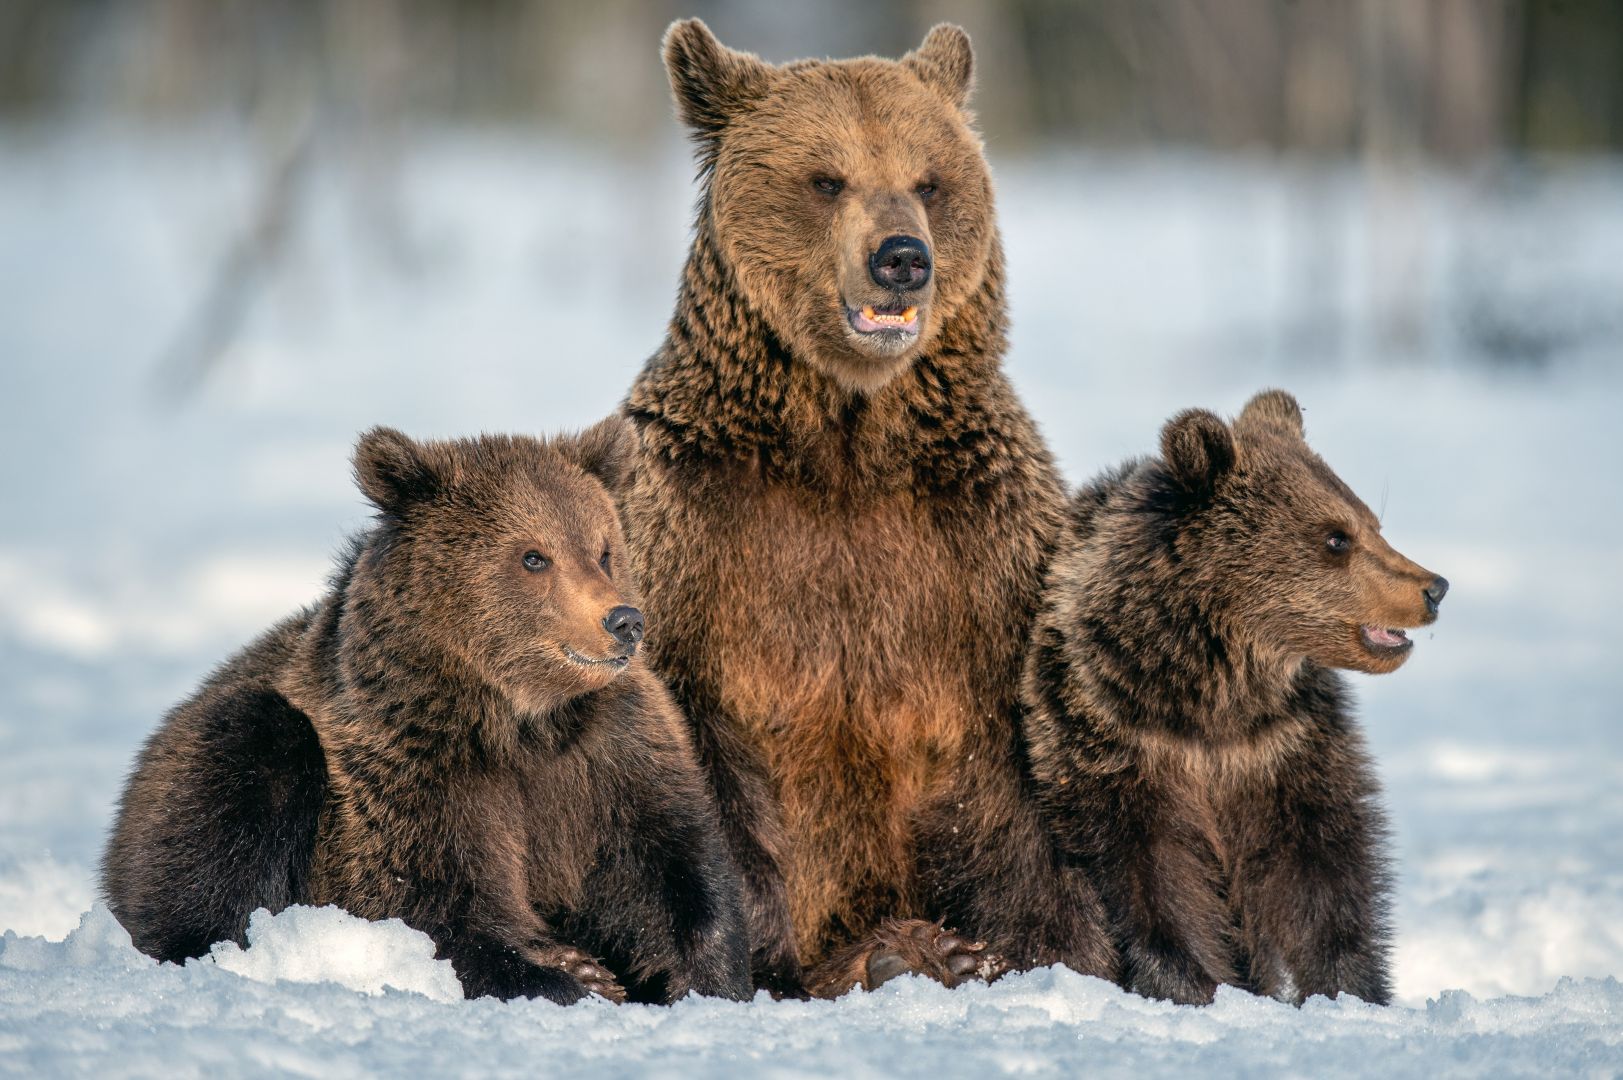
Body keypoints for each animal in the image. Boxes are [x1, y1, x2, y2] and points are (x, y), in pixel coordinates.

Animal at [619, 18, 1116, 993]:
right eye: (825, 177)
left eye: (928, 179)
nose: (902, 259)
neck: (845, 443)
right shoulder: (693, 532)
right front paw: (747, 961)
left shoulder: (978, 549)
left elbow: (1013, 777)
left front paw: (1025, 947)